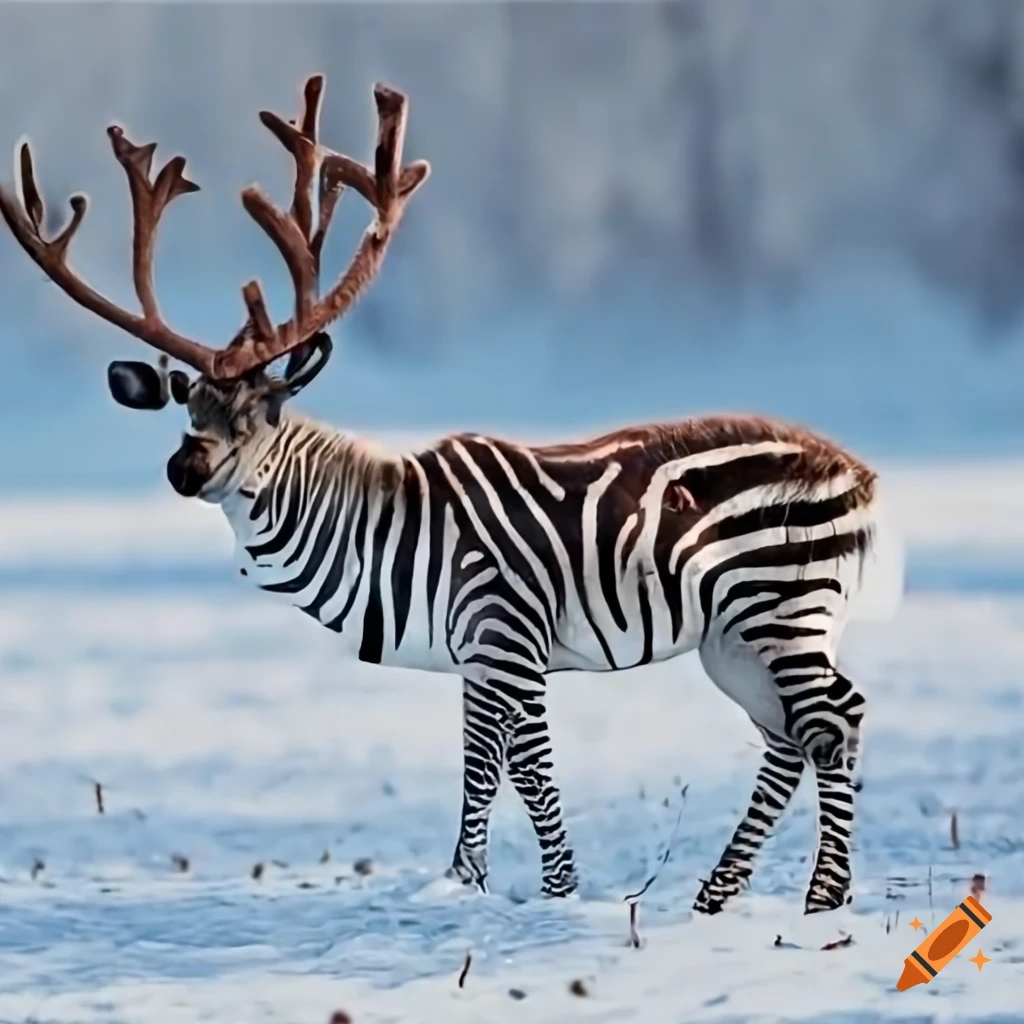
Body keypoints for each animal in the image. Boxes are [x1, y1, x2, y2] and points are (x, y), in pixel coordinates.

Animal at [0, 74, 903, 913]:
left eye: (261, 413)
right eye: (188, 406)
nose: (184, 471)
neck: (373, 539)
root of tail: (856, 471)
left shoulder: (510, 637)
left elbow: (526, 771)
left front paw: (557, 892)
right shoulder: (477, 657)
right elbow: (479, 769)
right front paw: (465, 885)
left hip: (779, 605)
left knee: (834, 719)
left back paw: (823, 898)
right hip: (733, 640)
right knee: (787, 738)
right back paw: (716, 897)